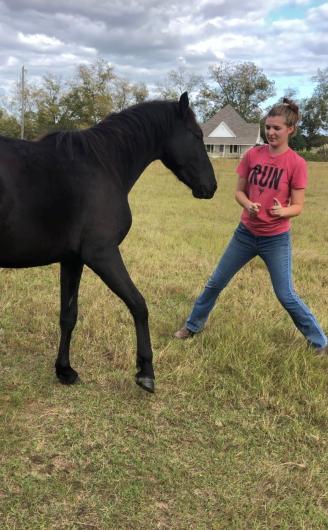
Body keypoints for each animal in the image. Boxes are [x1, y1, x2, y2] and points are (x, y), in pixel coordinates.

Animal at [0, 91, 217, 390]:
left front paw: (64, 370)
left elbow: (68, 315)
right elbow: (138, 304)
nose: (212, 186)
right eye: (196, 135)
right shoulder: (102, 255)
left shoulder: (73, 260)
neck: (103, 164)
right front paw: (146, 371)